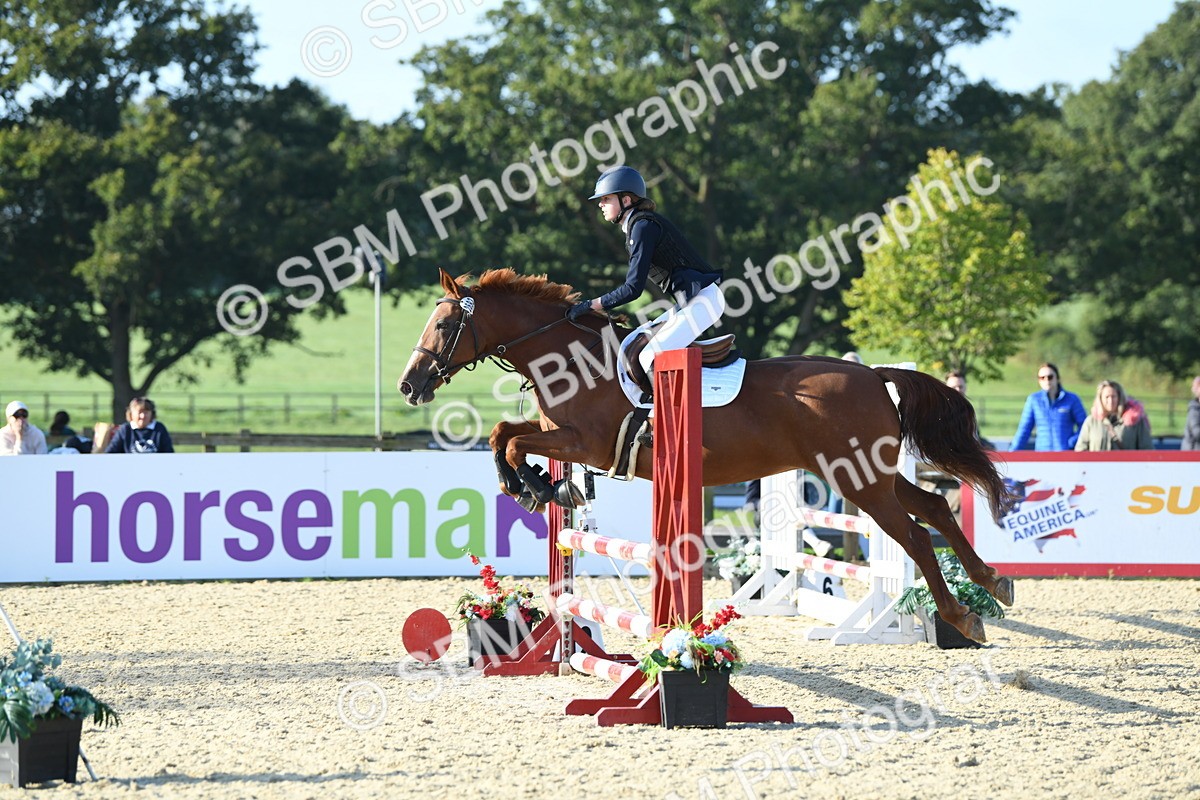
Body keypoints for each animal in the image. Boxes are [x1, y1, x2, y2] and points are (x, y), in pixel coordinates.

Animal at [398, 268, 1016, 643]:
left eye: (445, 323)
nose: (410, 385)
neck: (570, 358)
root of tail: (872, 375)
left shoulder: (584, 442)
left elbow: (512, 439)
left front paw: (532, 484)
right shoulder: (559, 434)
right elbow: (504, 432)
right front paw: (538, 486)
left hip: (861, 483)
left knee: (913, 535)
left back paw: (962, 616)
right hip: (868, 474)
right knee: (932, 509)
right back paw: (993, 583)